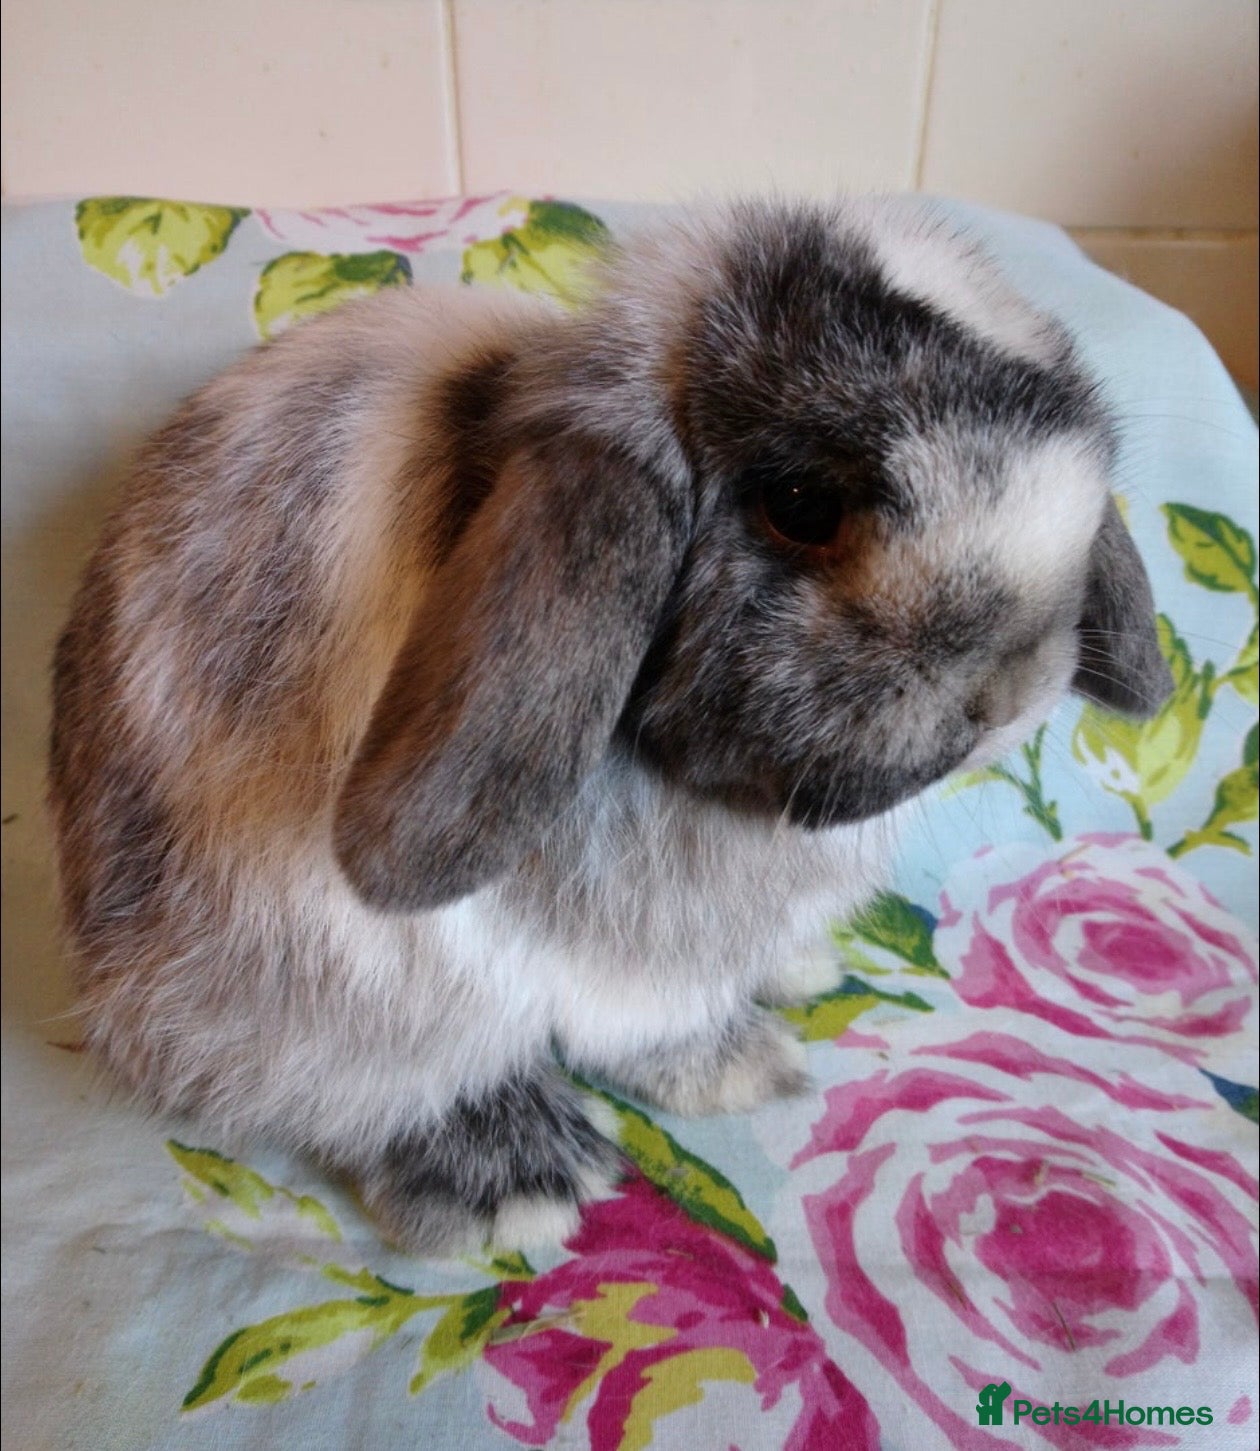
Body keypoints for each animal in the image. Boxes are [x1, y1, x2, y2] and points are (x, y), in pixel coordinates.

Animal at [48, 197, 1173, 1255]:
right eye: (802, 503)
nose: (1009, 690)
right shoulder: (603, 961)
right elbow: (647, 1023)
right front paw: (743, 1067)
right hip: (323, 979)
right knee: (351, 1080)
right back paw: (517, 1180)